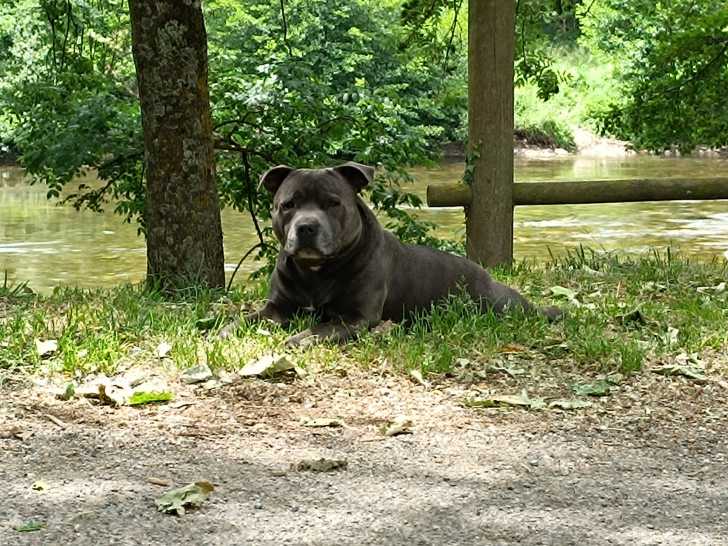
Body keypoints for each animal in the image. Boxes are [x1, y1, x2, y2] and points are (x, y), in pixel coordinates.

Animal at [221, 162, 560, 346]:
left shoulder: (355, 318)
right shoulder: (277, 307)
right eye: (288, 204)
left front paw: (298, 339)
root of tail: (485, 274)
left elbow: (319, 329)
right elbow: (243, 320)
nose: (306, 226)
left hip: (501, 305)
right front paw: (223, 331)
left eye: (333, 203)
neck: (316, 272)